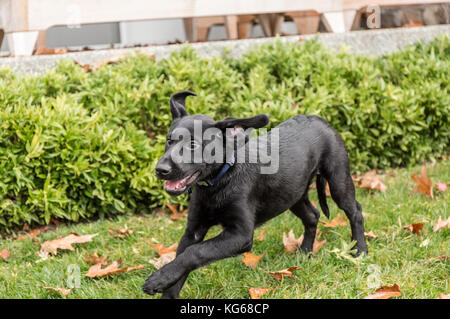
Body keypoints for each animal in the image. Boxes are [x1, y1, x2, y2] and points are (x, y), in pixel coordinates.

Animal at [142, 91, 368, 298]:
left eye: (193, 145)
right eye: (169, 141)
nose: (160, 170)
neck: (220, 181)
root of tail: (320, 119)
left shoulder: (241, 234)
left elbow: (195, 252)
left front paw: (157, 279)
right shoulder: (193, 230)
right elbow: (182, 259)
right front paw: (165, 285)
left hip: (338, 179)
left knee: (355, 211)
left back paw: (360, 251)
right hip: (291, 194)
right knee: (312, 216)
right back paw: (305, 253)